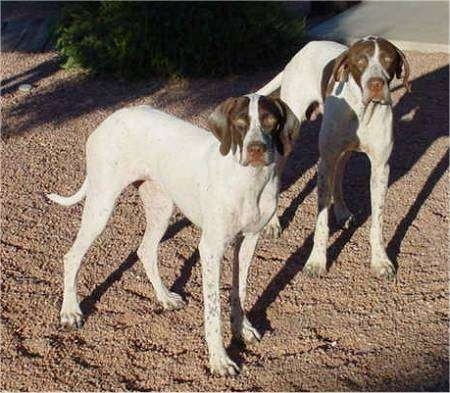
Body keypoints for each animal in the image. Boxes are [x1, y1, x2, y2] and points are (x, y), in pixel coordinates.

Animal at [46, 93, 298, 376]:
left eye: (270, 121)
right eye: (240, 123)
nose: (256, 149)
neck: (249, 180)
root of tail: (110, 119)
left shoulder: (248, 241)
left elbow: (239, 291)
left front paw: (242, 329)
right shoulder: (211, 249)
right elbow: (213, 311)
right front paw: (219, 360)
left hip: (161, 207)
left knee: (145, 250)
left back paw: (165, 297)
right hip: (101, 206)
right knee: (72, 257)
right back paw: (70, 312)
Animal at [256, 35, 412, 278]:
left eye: (388, 59)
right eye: (361, 61)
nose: (376, 84)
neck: (362, 112)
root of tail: (304, 48)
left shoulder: (381, 167)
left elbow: (377, 221)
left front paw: (380, 260)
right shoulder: (325, 164)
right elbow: (321, 221)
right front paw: (316, 261)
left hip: (343, 152)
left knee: (339, 176)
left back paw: (342, 211)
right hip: (290, 138)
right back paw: (273, 223)